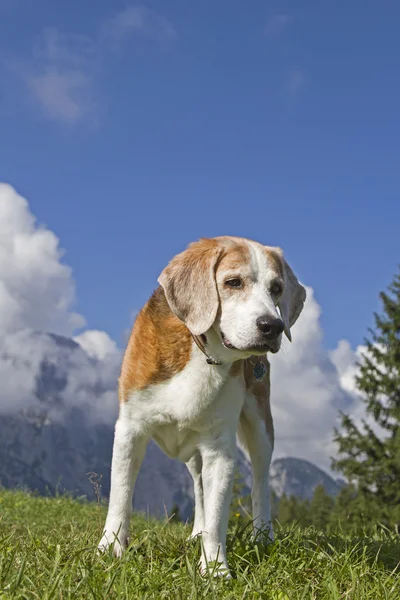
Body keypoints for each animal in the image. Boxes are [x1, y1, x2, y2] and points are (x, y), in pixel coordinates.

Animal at [98, 234, 304, 576]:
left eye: (277, 288)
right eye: (233, 282)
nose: (272, 326)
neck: (202, 349)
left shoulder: (220, 449)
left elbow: (219, 514)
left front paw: (216, 569)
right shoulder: (130, 429)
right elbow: (121, 495)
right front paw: (111, 548)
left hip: (261, 425)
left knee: (260, 481)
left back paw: (262, 535)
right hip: (194, 454)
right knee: (198, 488)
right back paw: (197, 531)